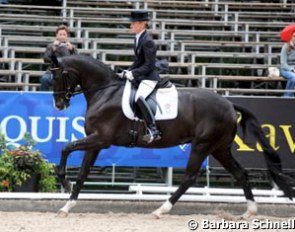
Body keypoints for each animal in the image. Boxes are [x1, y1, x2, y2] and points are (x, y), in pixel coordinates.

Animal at [51, 53, 294, 218]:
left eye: (59, 76)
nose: (59, 104)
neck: (105, 91)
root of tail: (228, 103)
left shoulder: (101, 139)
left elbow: (65, 148)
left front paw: (64, 183)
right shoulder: (96, 143)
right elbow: (82, 173)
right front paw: (67, 205)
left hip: (202, 145)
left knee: (189, 177)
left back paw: (161, 209)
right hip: (219, 148)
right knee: (240, 173)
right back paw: (249, 211)